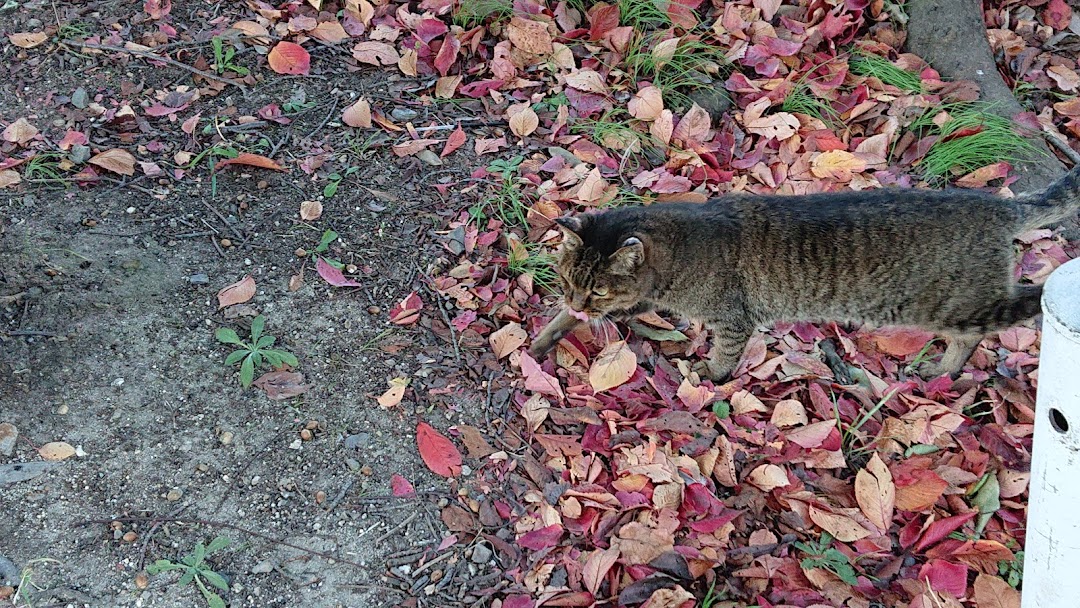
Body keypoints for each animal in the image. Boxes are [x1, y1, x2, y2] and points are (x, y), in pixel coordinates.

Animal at [527, 166, 1075, 380]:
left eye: (597, 291)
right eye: (569, 283)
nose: (575, 300)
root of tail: (998, 207)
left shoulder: (732, 319)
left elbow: (723, 358)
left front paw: (709, 378)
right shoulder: (641, 299)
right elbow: (564, 324)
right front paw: (543, 338)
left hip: (955, 306)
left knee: (999, 318)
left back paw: (943, 369)